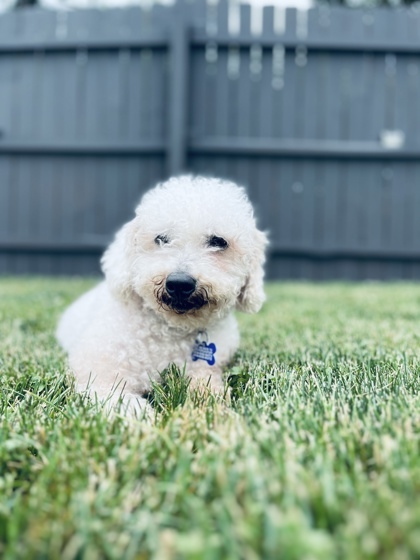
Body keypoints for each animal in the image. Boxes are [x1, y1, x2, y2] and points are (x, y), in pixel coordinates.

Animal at [56, 176, 266, 416]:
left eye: (218, 241)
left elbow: (208, 390)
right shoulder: (99, 375)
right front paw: (150, 420)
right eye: (161, 238)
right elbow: (121, 401)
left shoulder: (204, 369)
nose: (179, 284)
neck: (170, 332)